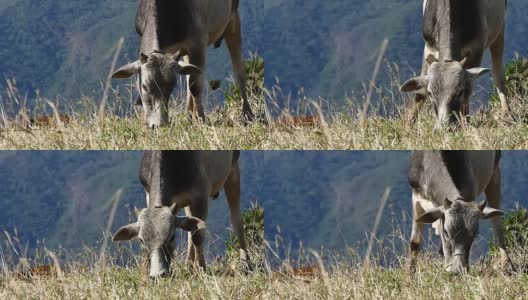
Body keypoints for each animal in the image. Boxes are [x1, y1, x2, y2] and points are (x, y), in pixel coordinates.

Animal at [110, 0, 254, 127]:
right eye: (144, 86)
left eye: (172, 87)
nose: (158, 124)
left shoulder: (198, 44)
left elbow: (195, 86)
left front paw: (202, 120)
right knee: (188, 74)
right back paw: (189, 117)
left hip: (233, 18)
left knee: (238, 70)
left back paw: (247, 115)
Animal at [112, 151, 253, 278]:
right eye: (141, 240)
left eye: (172, 237)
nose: (158, 274)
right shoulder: (148, 191)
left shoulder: (200, 195)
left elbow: (198, 236)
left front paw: (202, 269)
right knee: (190, 228)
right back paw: (189, 266)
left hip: (233, 169)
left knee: (236, 220)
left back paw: (246, 264)